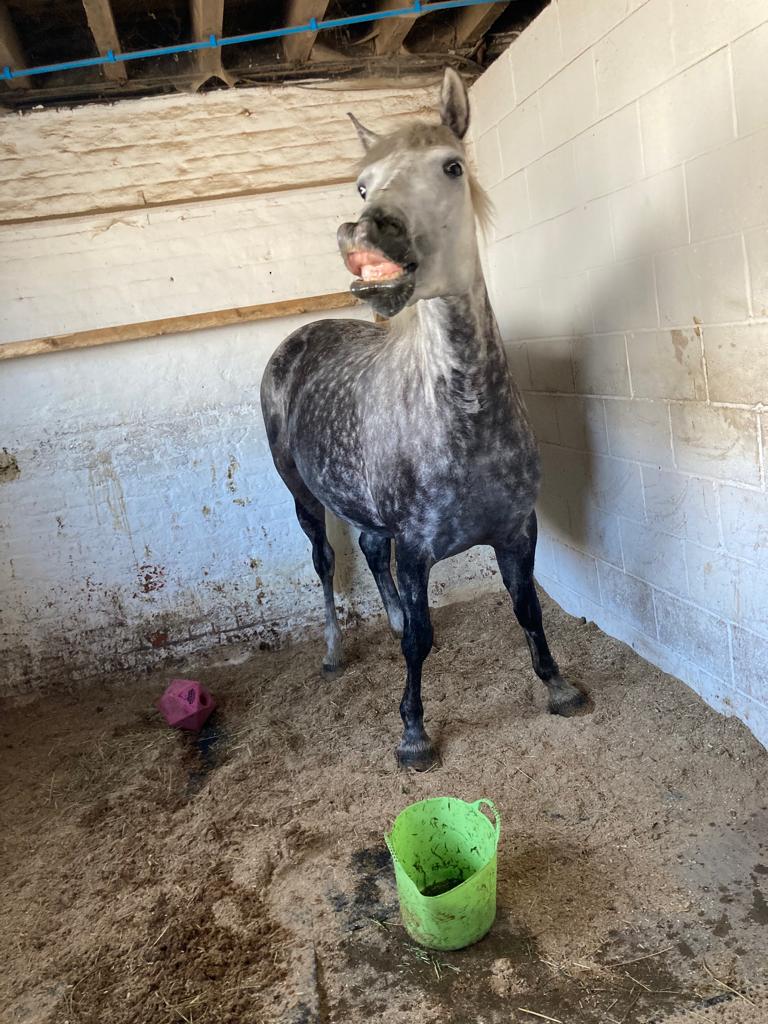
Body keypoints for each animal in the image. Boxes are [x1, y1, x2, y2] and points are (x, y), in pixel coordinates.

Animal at [260, 68, 586, 770]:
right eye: (363, 183)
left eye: (451, 166)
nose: (366, 234)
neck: (464, 421)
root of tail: (298, 340)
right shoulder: (416, 552)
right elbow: (421, 640)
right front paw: (412, 733)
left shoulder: (516, 530)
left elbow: (527, 610)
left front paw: (558, 685)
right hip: (303, 496)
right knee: (325, 560)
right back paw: (334, 650)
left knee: (367, 549)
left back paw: (383, 620)